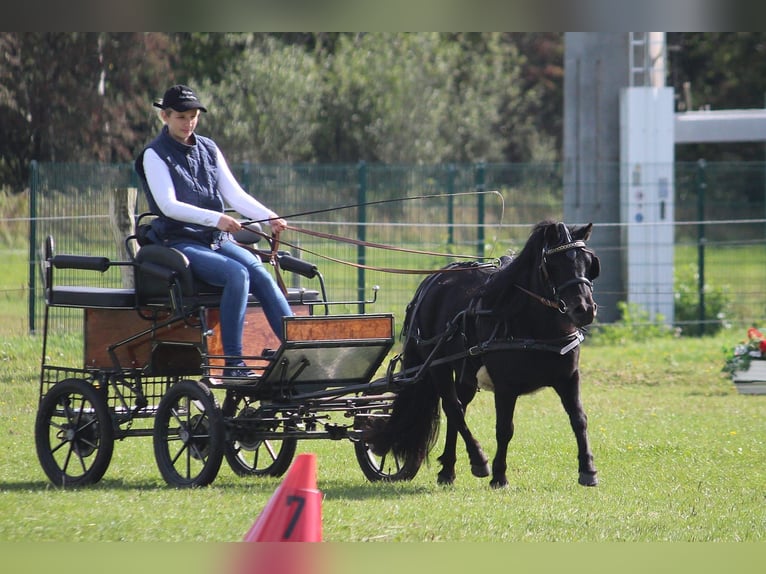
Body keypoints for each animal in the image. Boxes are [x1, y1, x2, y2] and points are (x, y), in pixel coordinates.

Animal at [368, 223, 604, 488]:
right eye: (554, 264)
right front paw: (499, 476)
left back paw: (448, 469)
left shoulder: (568, 378)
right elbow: (504, 429)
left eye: (589, 263)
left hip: (465, 373)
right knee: (453, 409)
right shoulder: (505, 387)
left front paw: (588, 470)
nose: (584, 309)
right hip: (437, 367)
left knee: (457, 411)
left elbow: (579, 419)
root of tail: (432, 281)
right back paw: (478, 460)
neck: (535, 325)